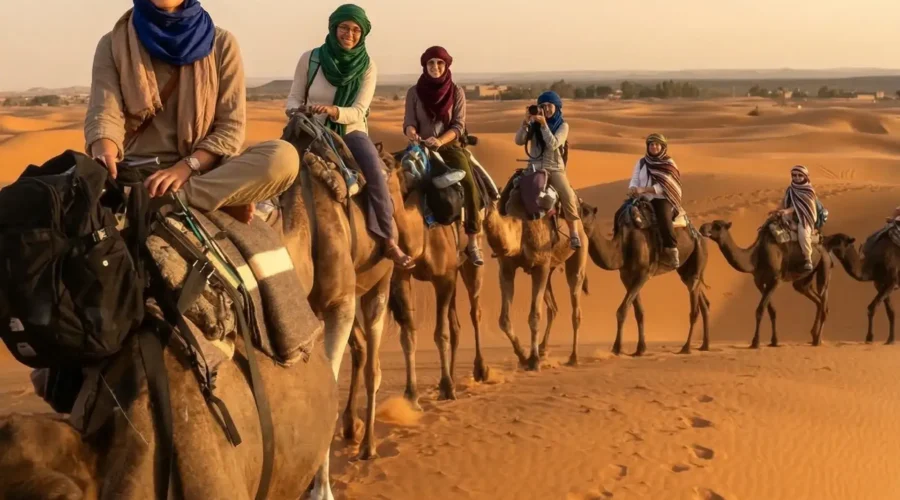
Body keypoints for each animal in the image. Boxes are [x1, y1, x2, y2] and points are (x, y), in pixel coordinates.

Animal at [482, 192, 594, 371]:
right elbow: (503, 319)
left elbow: (534, 315)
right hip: (550, 268)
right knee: (553, 308)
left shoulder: (540, 266)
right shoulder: (506, 269)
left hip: (578, 250)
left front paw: (533, 360)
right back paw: (543, 349)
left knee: (575, 305)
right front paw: (523, 355)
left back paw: (573, 357)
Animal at [583, 201, 711, 356]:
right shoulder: (626, 276)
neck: (622, 247)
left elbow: (622, 310)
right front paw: (640, 349)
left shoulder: (643, 274)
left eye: (584, 211)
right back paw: (705, 345)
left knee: (694, 307)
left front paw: (617, 348)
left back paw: (686, 348)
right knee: (701, 299)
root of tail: (700, 236)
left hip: (699, 253)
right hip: (685, 269)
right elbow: (639, 311)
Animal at [699, 219, 831, 348]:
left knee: (824, 300)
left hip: (824, 266)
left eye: (717, 226)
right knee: (815, 299)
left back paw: (818, 339)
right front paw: (774, 341)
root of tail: (824, 248)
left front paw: (755, 342)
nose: (702, 228)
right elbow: (771, 310)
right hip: (803, 279)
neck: (755, 257)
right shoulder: (759, 282)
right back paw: (814, 336)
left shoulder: (775, 280)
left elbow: (760, 309)